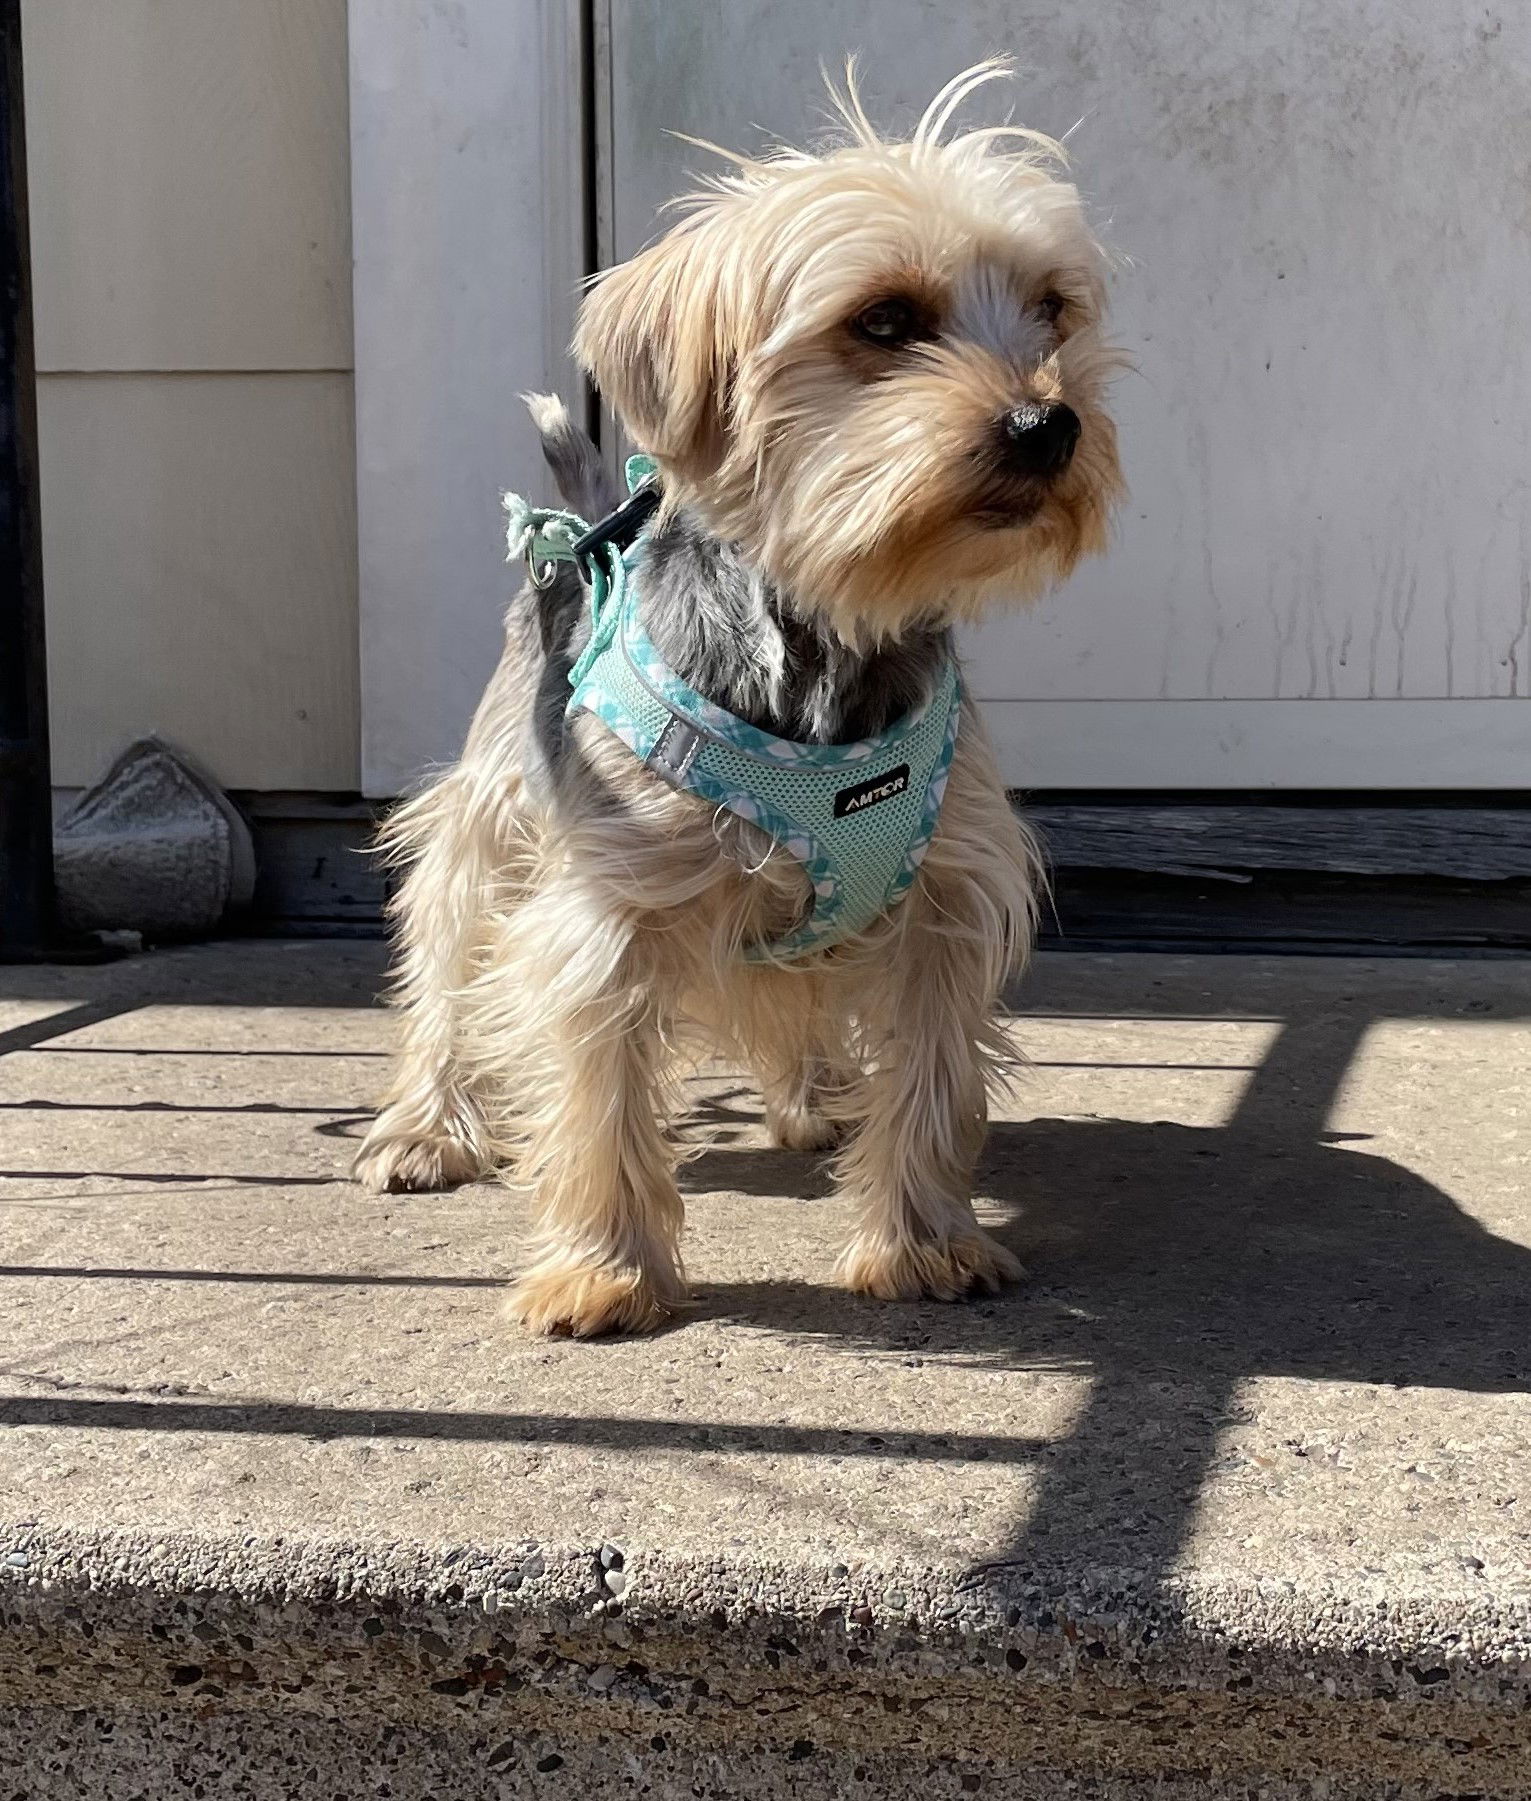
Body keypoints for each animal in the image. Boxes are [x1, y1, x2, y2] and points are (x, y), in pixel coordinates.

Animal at [358, 63, 1123, 1339]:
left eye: (1052, 311)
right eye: (883, 321)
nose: (1047, 422)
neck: (828, 622)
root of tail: (580, 531)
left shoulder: (947, 890)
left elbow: (932, 1071)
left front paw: (923, 1241)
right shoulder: (610, 898)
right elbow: (600, 1091)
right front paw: (605, 1268)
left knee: (791, 994)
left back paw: (816, 1096)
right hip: (494, 808)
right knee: (449, 945)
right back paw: (424, 1126)